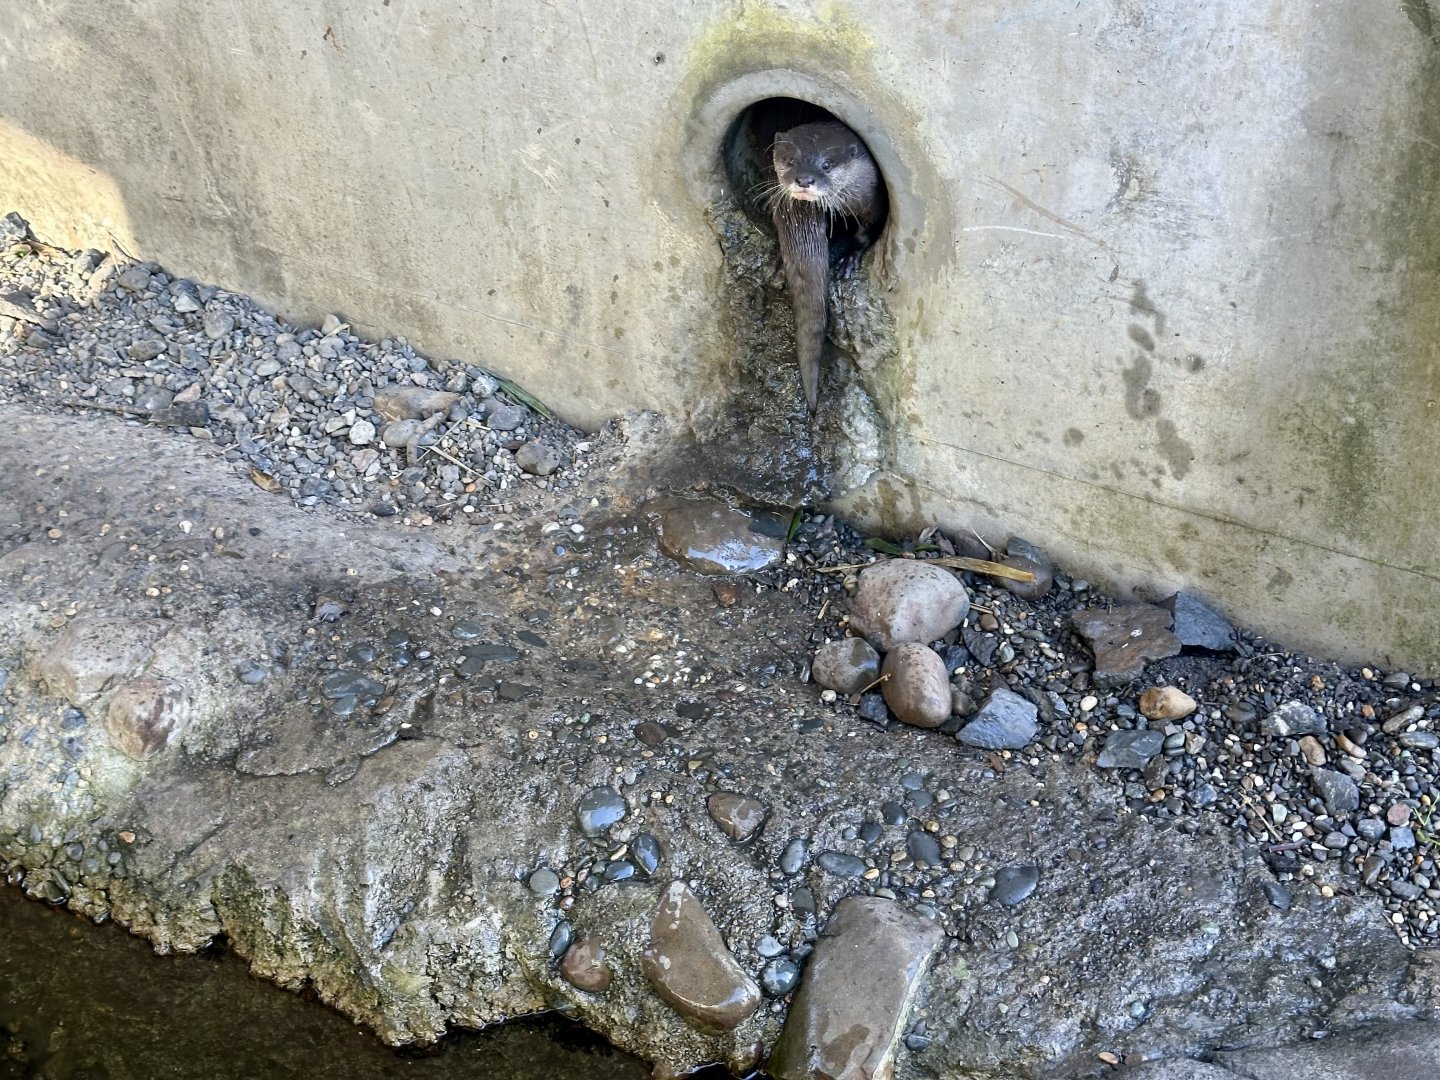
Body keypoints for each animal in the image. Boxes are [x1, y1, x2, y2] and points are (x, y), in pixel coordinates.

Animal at [768, 120, 885, 412]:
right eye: (790, 160)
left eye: (827, 164)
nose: (804, 180)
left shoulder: (873, 200)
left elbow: (868, 229)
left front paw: (851, 257)